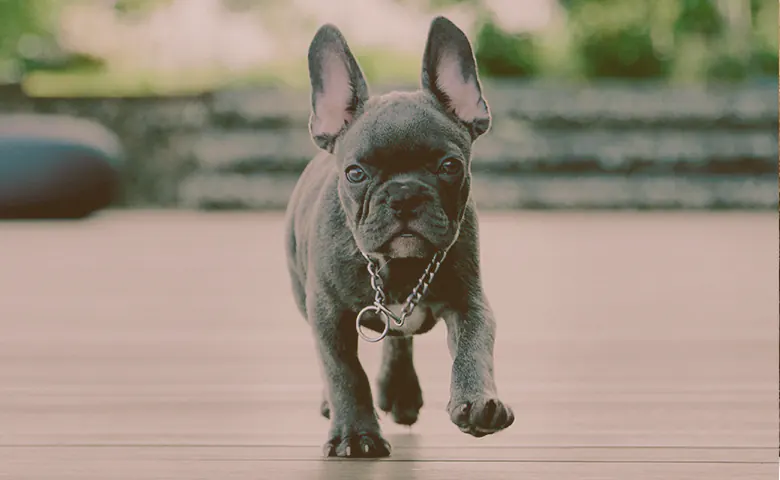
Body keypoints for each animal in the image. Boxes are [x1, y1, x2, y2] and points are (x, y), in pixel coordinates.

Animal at [284, 14, 516, 458]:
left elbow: (473, 348)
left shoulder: (469, 301)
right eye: (355, 173)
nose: (405, 194)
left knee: (398, 339)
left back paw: (401, 391)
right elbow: (344, 372)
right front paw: (356, 435)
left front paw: (478, 402)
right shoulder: (328, 312)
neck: (400, 266)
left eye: (449, 166)